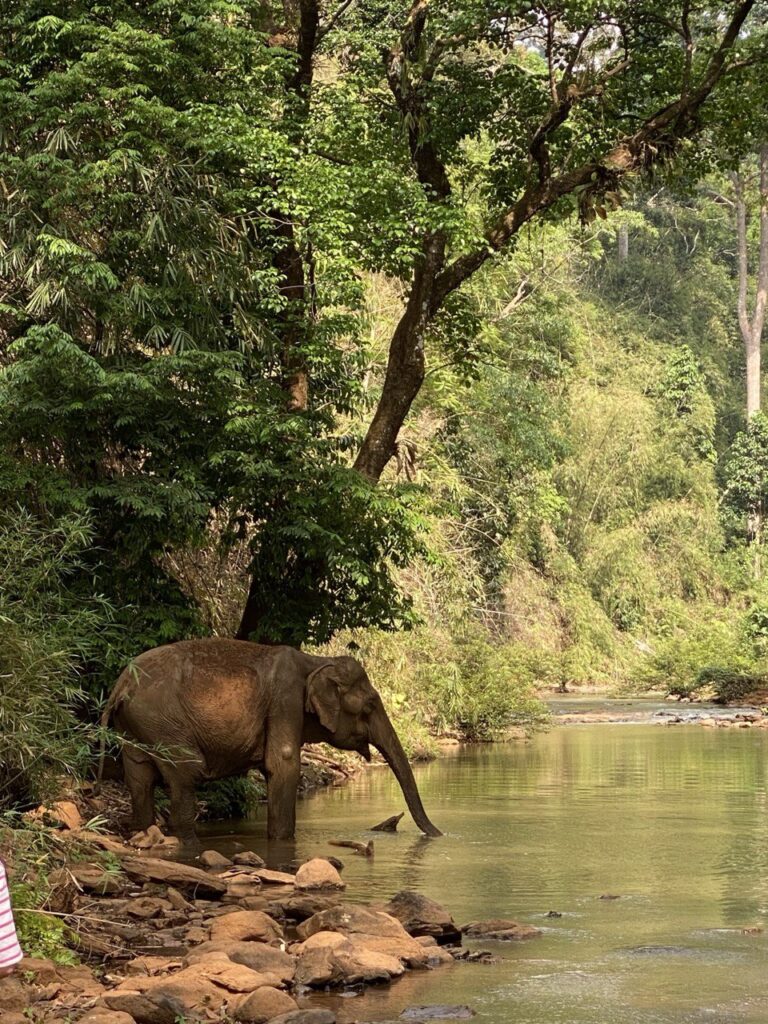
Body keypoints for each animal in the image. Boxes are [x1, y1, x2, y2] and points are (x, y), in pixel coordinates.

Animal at [102, 634, 442, 843]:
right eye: (370, 705)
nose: (439, 834)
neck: (316, 660)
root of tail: (120, 684)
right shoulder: (285, 700)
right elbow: (284, 764)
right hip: (163, 722)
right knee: (186, 774)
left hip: (135, 727)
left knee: (139, 779)